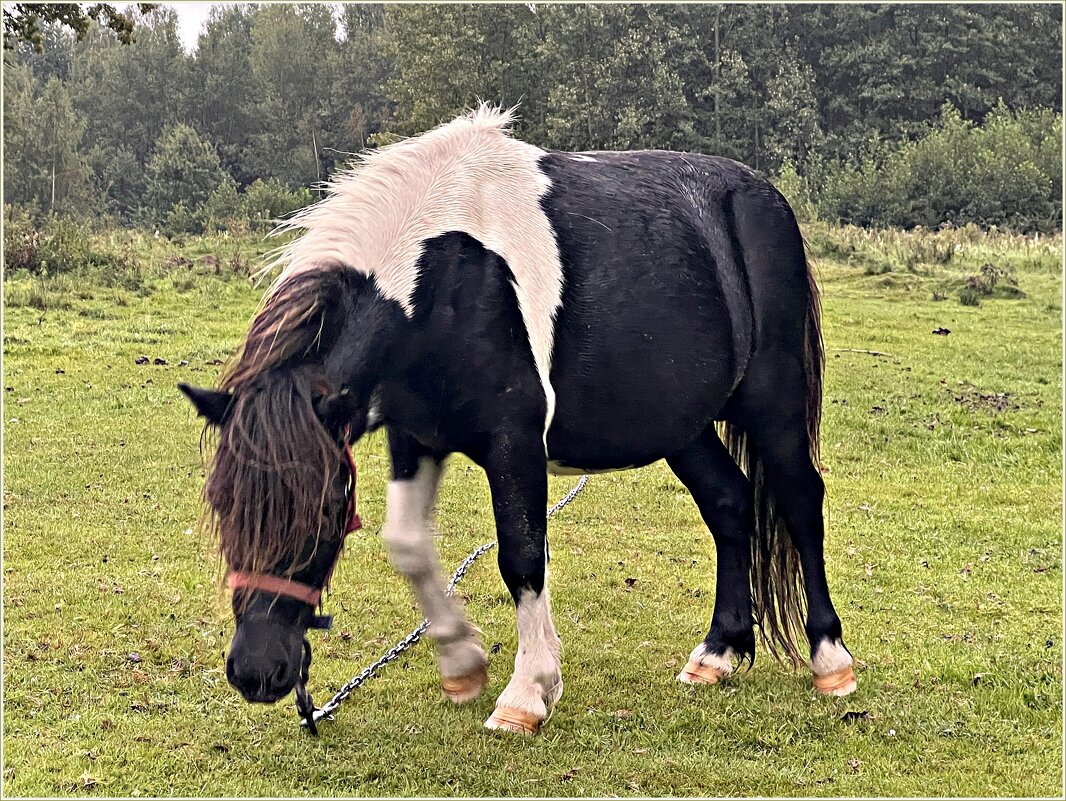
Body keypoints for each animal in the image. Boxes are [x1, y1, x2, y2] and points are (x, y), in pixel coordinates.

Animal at [179, 106, 852, 738]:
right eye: (221, 504)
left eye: (324, 510)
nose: (257, 672)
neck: (447, 281)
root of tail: (758, 196)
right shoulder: (414, 437)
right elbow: (409, 545)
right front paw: (463, 663)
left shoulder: (515, 444)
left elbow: (523, 560)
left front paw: (526, 694)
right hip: (681, 425)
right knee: (730, 502)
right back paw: (717, 654)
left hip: (774, 404)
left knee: (800, 501)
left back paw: (831, 661)